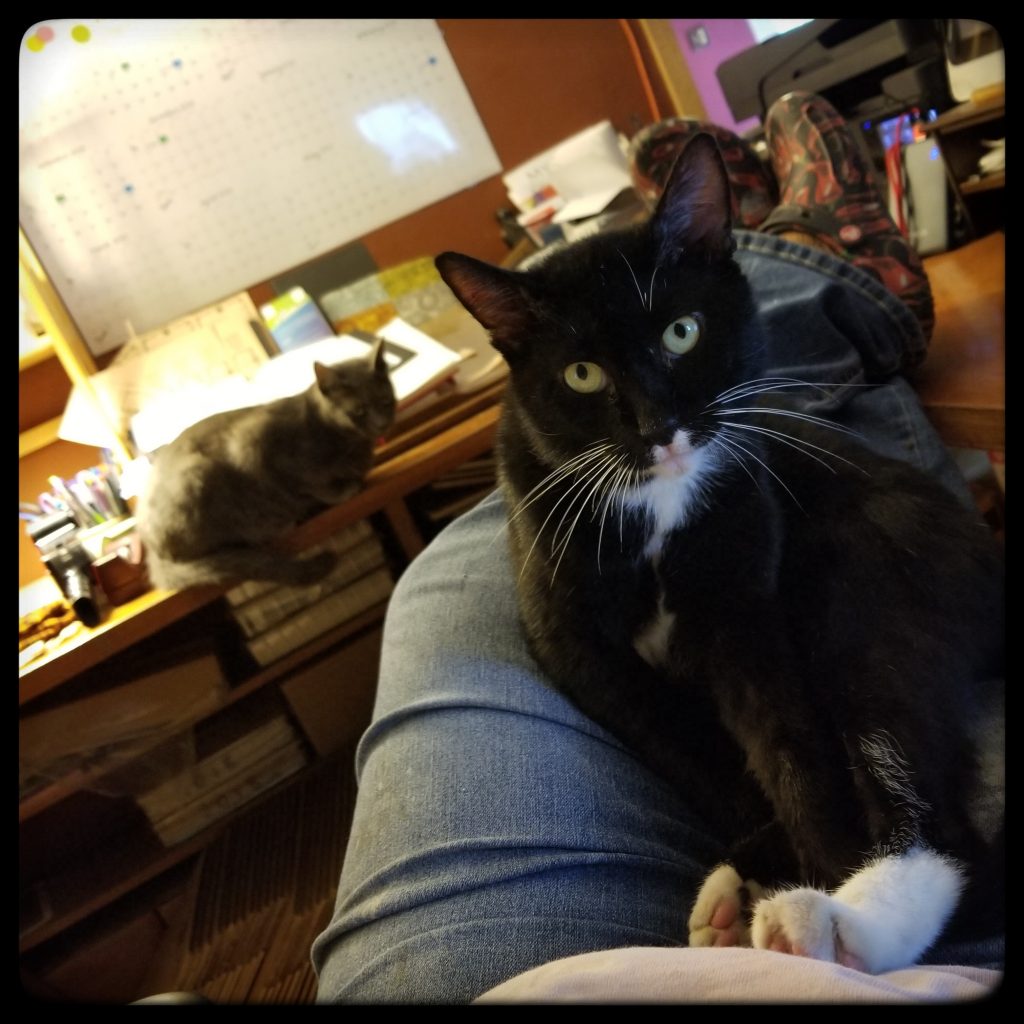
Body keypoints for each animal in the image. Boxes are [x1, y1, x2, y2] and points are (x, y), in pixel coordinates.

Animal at [137, 337, 395, 591]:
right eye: (359, 411)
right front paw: (343, 490)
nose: (383, 424)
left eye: (385, 402)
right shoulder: (251, 444)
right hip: (195, 476)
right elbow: (308, 484)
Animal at [435, 134, 1004, 974]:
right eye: (581, 374)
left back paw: (827, 922)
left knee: (941, 819)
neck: (658, 505)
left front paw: (819, 858)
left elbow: (791, 744)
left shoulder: (746, 602)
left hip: (870, 575)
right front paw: (767, 854)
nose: (659, 427)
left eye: (683, 332)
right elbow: (692, 753)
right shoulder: (578, 649)